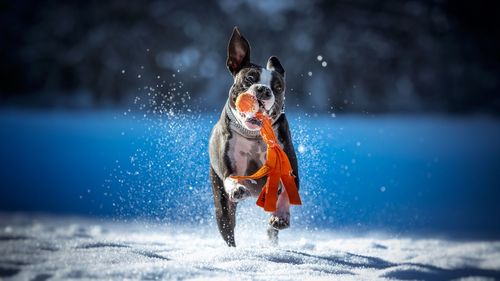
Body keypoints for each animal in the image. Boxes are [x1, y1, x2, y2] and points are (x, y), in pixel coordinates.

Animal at [208, 26, 298, 245]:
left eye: (278, 87)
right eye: (249, 78)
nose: (263, 90)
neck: (255, 135)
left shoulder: (289, 168)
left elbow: (286, 192)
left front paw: (281, 216)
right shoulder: (228, 166)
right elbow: (231, 177)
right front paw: (237, 188)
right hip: (221, 206)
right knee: (228, 229)